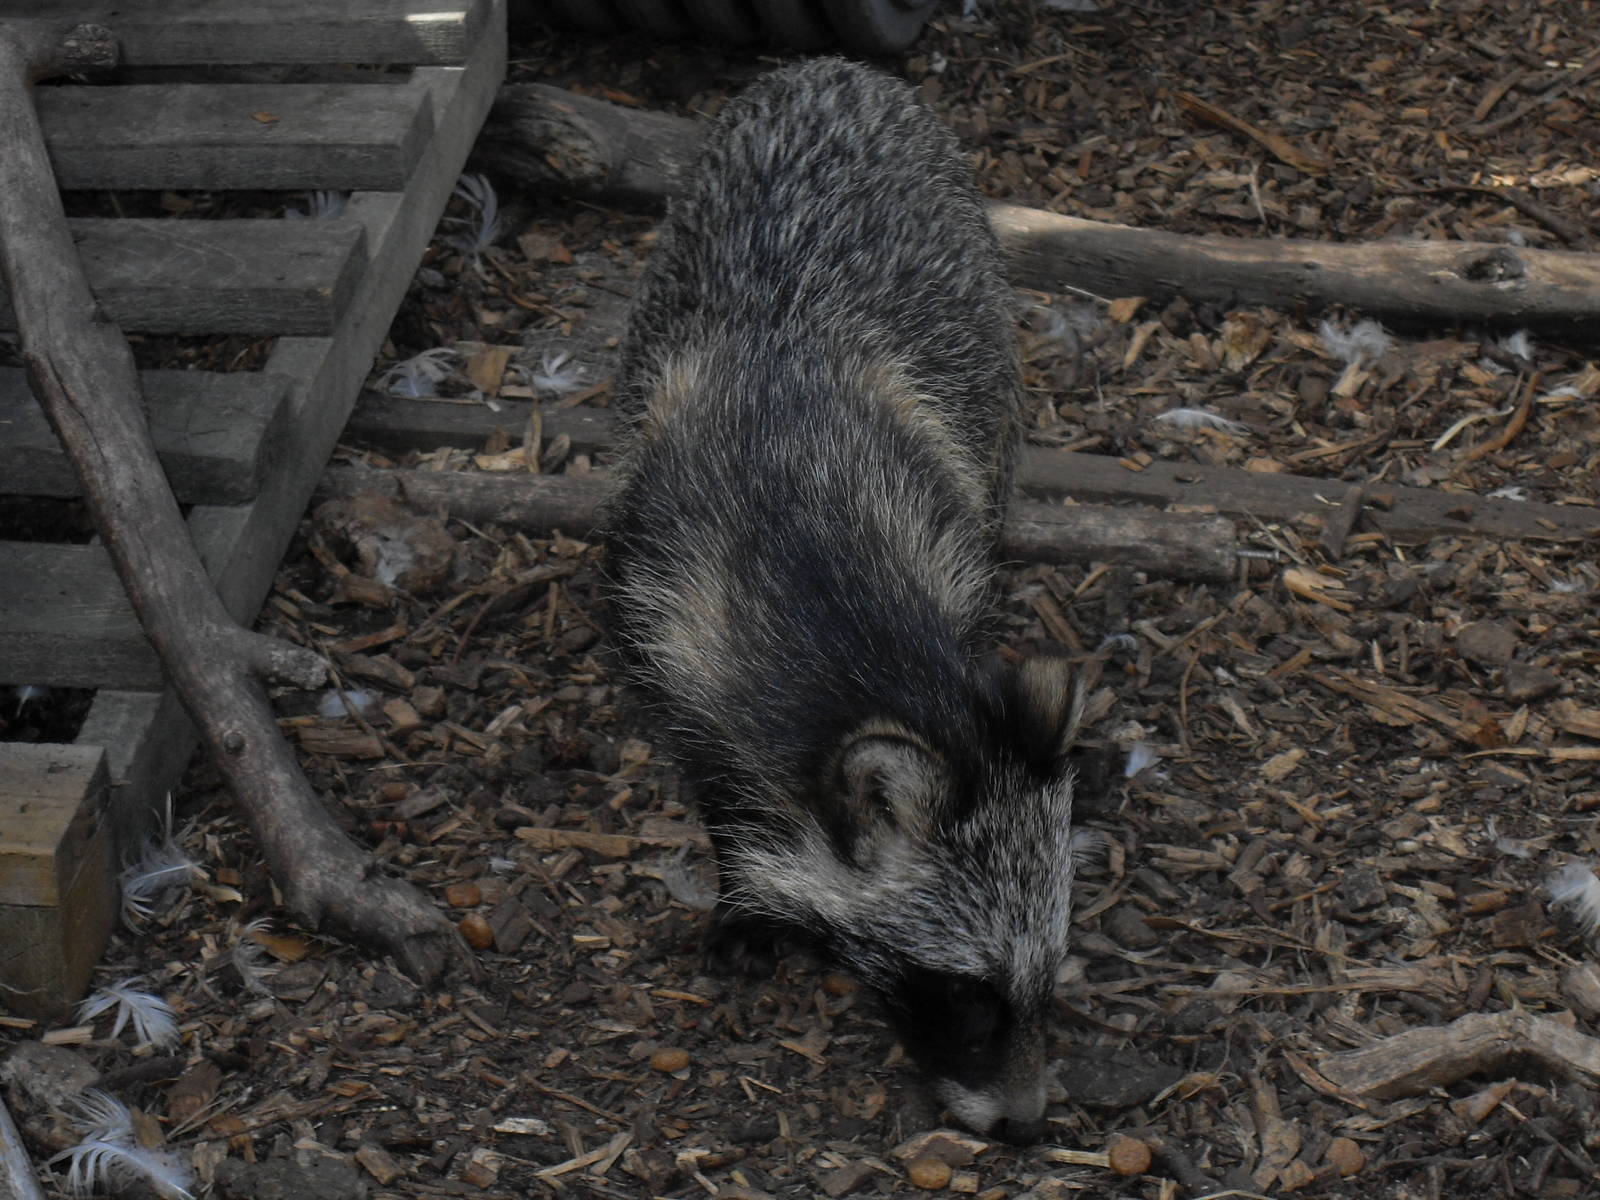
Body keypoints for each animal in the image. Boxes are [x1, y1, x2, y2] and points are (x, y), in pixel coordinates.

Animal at [602, 58, 1085, 1143]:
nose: (1027, 1124)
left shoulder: (944, 529)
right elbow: (718, 777)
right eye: (967, 992)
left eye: (1044, 980)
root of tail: (839, 71)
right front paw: (743, 890)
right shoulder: (670, 608)